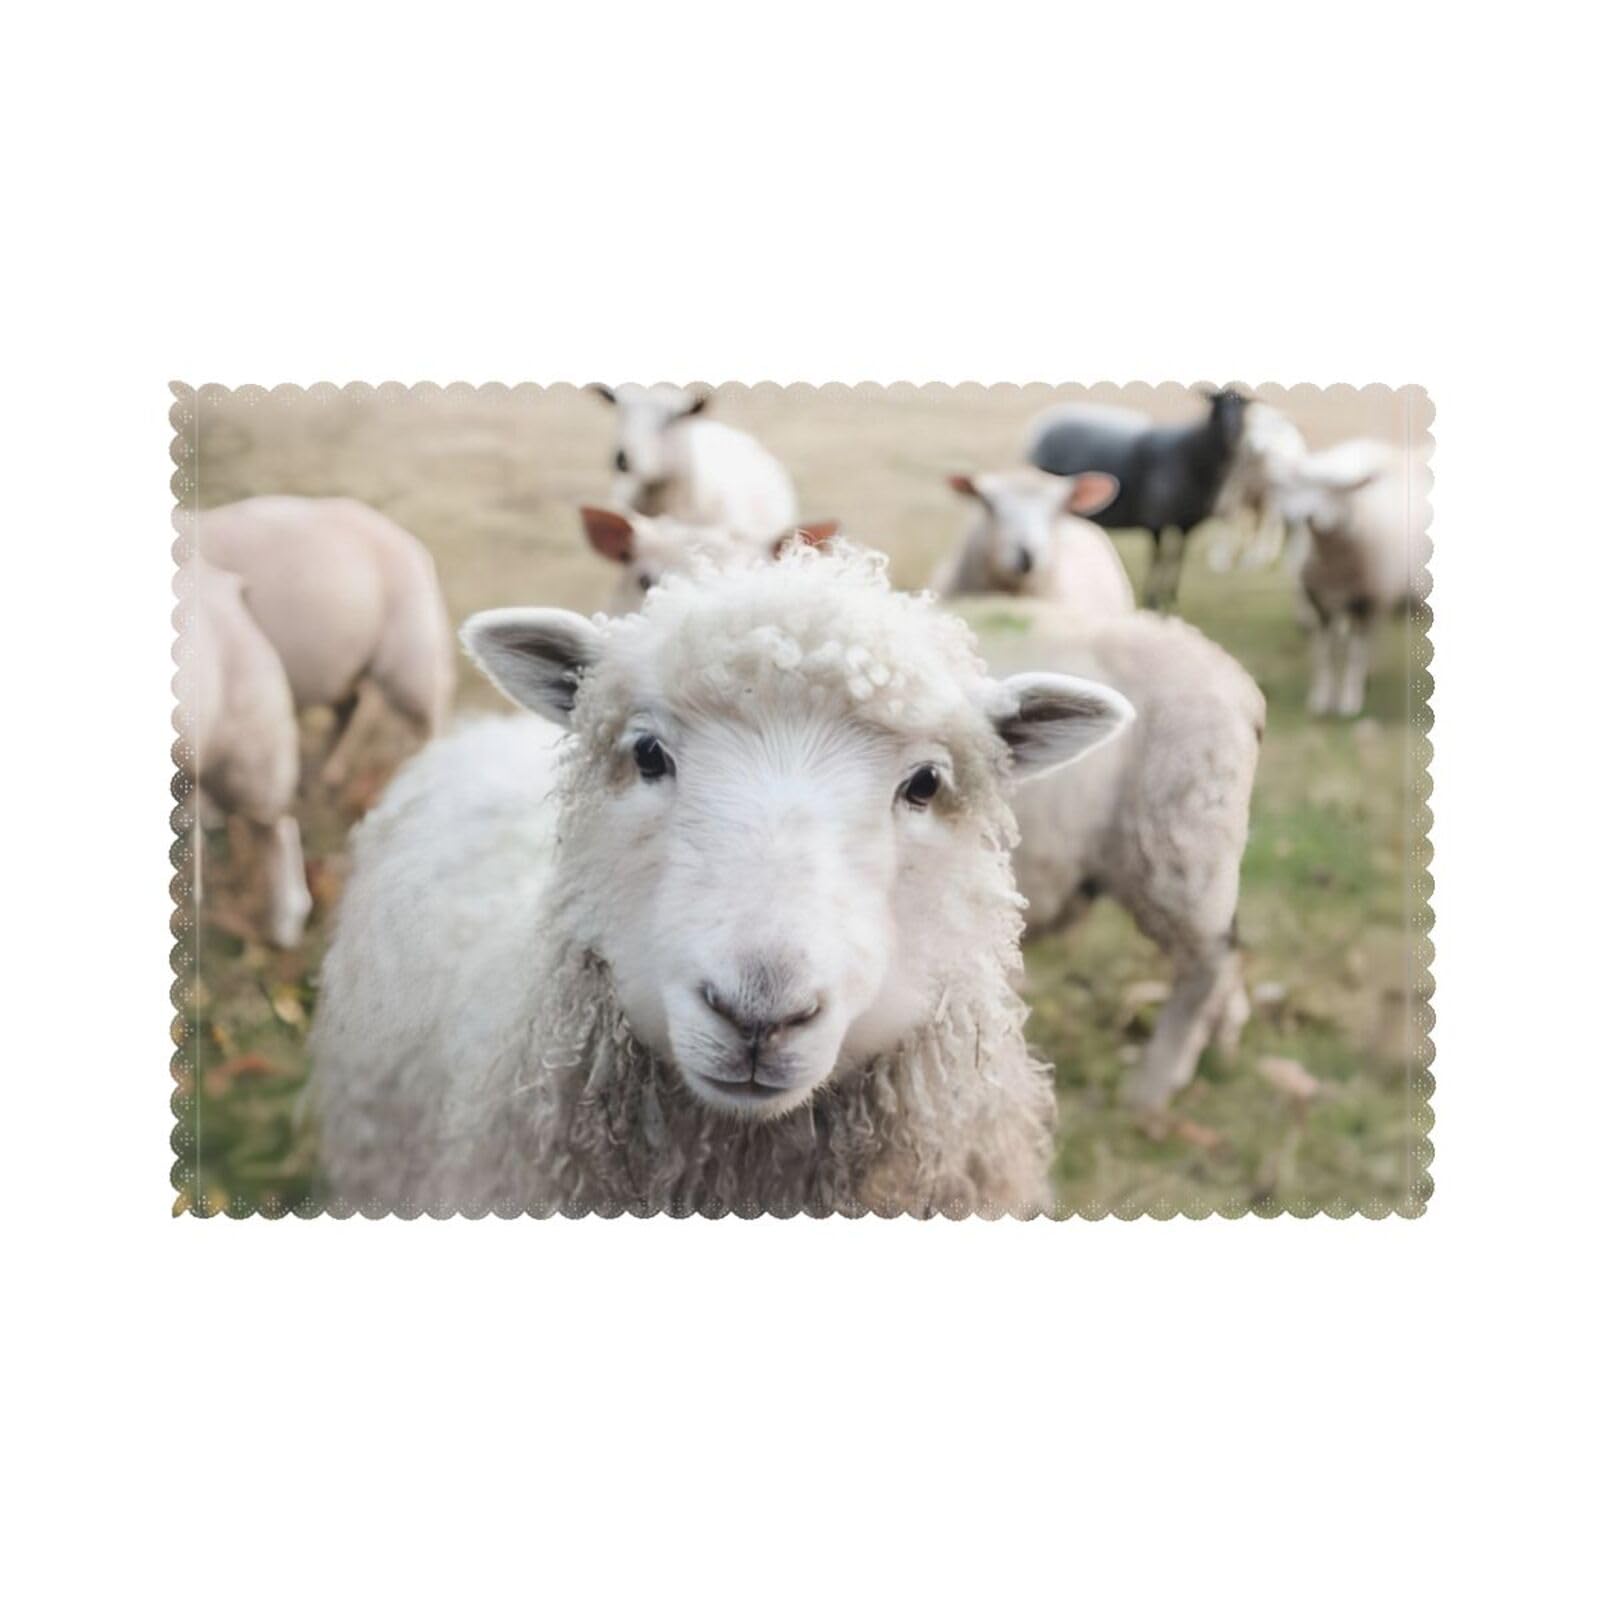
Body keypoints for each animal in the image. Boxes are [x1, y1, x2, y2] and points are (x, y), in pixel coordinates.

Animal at [1027, 389, 1250, 609]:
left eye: (1244, 407)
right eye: (1217, 404)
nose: (1233, 431)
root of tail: (1042, 425)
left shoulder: (1187, 523)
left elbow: (1178, 555)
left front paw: (1170, 596)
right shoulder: (1156, 519)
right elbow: (1158, 557)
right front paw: (1153, 599)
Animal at [1272, 440, 1430, 718]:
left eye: (1335, 490)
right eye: (1301, 486)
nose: (1305, 516)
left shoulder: (1364, 601)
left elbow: (1356, 654)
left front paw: (1349, 701)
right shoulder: (1319, 602)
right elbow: (1323, 654)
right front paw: (1321, 700)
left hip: (1380, 593)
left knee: (1370, 636)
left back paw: (1367, 673)